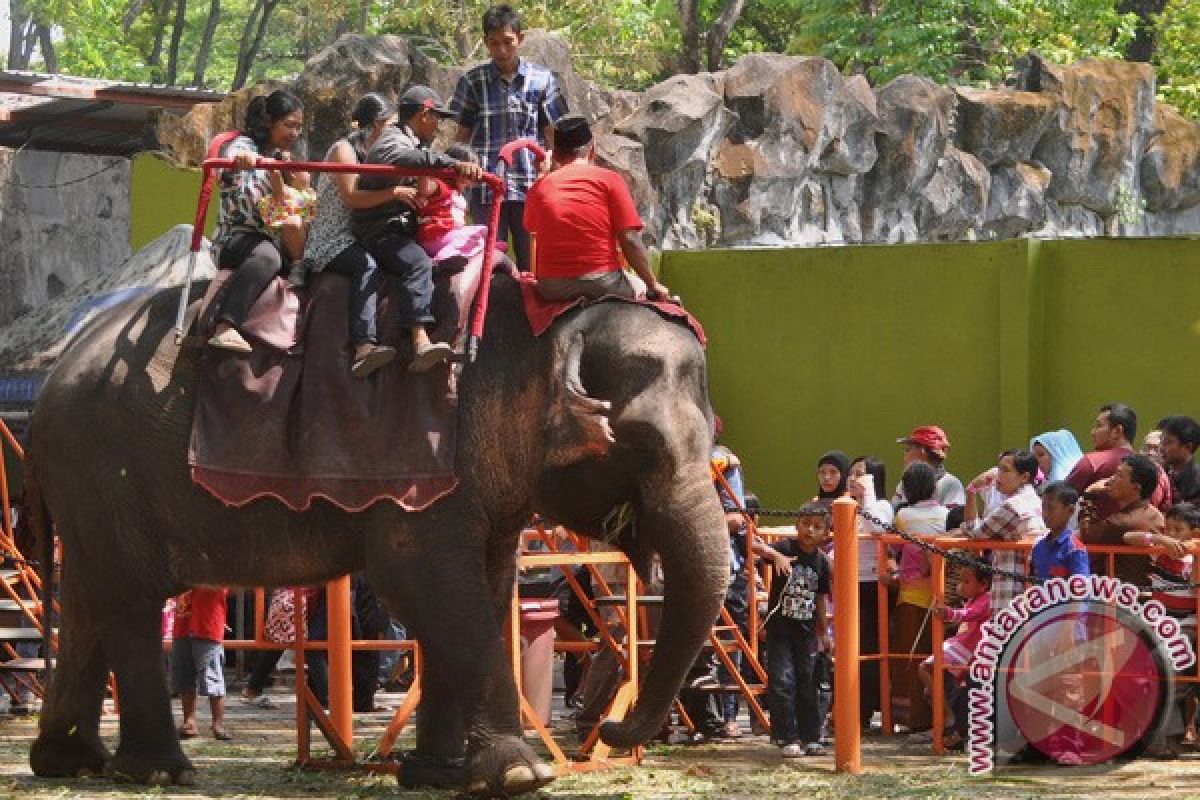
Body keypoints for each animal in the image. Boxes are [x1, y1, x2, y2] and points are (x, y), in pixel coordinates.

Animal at [23, 272, 724, 796]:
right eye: (641, 446)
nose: (607, 733)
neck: (541, 324)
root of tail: (52, 376)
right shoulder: (431, 454)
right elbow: (420, 578)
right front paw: (523, 774)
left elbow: (485, 584)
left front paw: (438, 776)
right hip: (105, 466)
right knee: (131, 601)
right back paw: (160, 772)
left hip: (91, 490)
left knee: (89, 598)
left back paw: (70, 762)